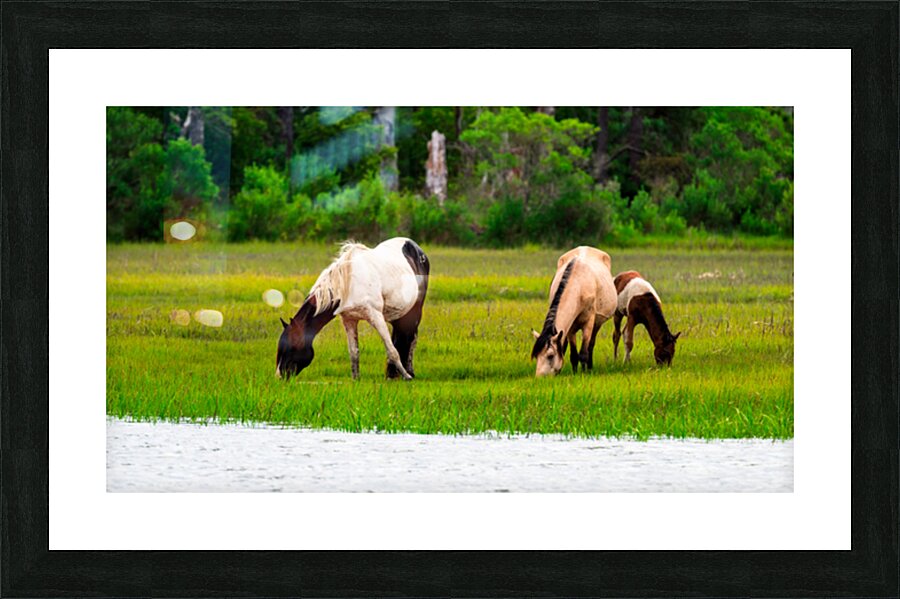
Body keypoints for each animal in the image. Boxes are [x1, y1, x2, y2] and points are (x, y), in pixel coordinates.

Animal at [276, 237, 430, 381]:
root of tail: (415, 247)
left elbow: (392, 351)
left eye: (292, 346)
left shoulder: (376, 316)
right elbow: (354, 352)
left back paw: (409, 372)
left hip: (415, 311)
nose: (279, 376)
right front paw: (356, 379)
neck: (349, 283)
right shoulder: (349, 320)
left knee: (412, 340)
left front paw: (406, 376)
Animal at [531, 246, 617, 376]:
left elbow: (583, 353)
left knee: (591, 345)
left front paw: (583, 373)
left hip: (597, 323)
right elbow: (573, 354)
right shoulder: (570, 327)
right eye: (536, 356)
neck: (578, 286)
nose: (540, 377)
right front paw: (574, 373)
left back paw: (590, 367)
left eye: (550, 356)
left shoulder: (588, 323)